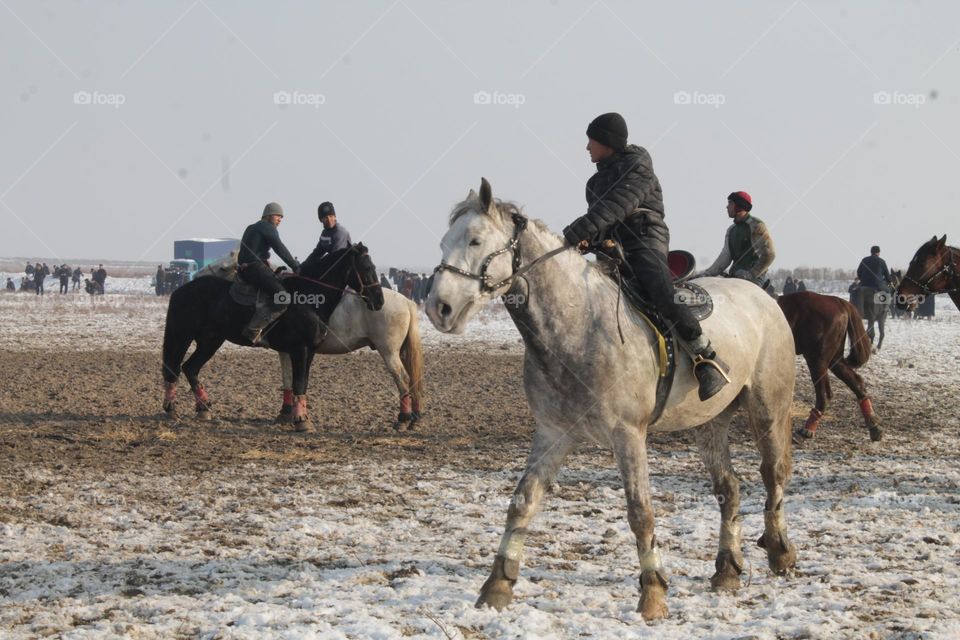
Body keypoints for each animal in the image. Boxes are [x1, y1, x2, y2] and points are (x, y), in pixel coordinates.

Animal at [160, 245, 382, 430]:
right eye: (365, 267)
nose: (379, 301)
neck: (308, 300)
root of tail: (181, 290)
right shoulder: (299, 350)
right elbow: (298, 383)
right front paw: (301, 421)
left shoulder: (309, 352)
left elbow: (302, 382)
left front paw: (300, 417)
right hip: (181, 336)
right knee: (173, 369)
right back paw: (171, 409)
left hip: (210, 341)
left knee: (190, 368)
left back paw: (203, 409)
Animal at [426, 179, 796, 620]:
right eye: (443, 241)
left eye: (476, 240)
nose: (438, 308)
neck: (579, 326)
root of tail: (761, 297)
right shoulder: (553, 433)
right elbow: (522, 501)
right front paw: (497, 585)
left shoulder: (628, 435)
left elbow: (640, 511)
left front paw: (652, 594)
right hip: (709, 423)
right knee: (729, 487)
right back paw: (726, 570)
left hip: (768, 408)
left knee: (773, 474)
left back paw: (780, 552)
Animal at [776, 292, 880, 442]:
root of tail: (839, 302)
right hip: (834, 360)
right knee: (856, 382)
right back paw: (874, 425)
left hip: (817, 360)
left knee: (823, 395)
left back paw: (808, 429)